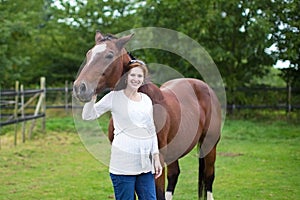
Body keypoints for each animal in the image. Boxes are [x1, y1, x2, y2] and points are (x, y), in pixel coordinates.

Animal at [73, 30, 221, 199]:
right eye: (89, 54)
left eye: (109, 55)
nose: (80, 87)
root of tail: (205, 87)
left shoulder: (157, 160)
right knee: (174, 175)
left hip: (209, 145)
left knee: (209, 177)